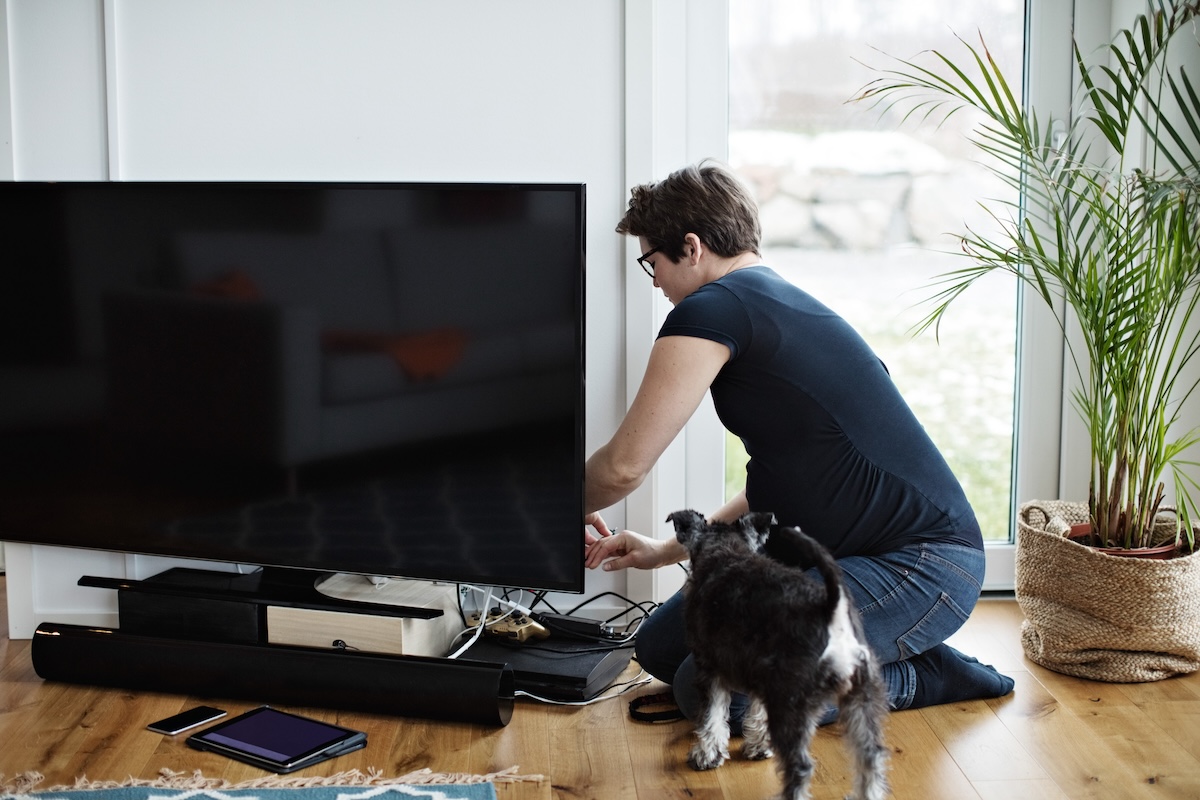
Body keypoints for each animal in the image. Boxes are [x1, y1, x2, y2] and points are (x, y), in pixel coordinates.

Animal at [667, 510, 892, 800]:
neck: (726, 552)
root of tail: (832, 611)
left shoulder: (709, 669)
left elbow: (711, 717)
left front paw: (706, 755)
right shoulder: (760, 679)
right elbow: (756, 713)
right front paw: (758, 747)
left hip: (790, 706)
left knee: (801, 768)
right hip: (861, 699)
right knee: (870, 758)